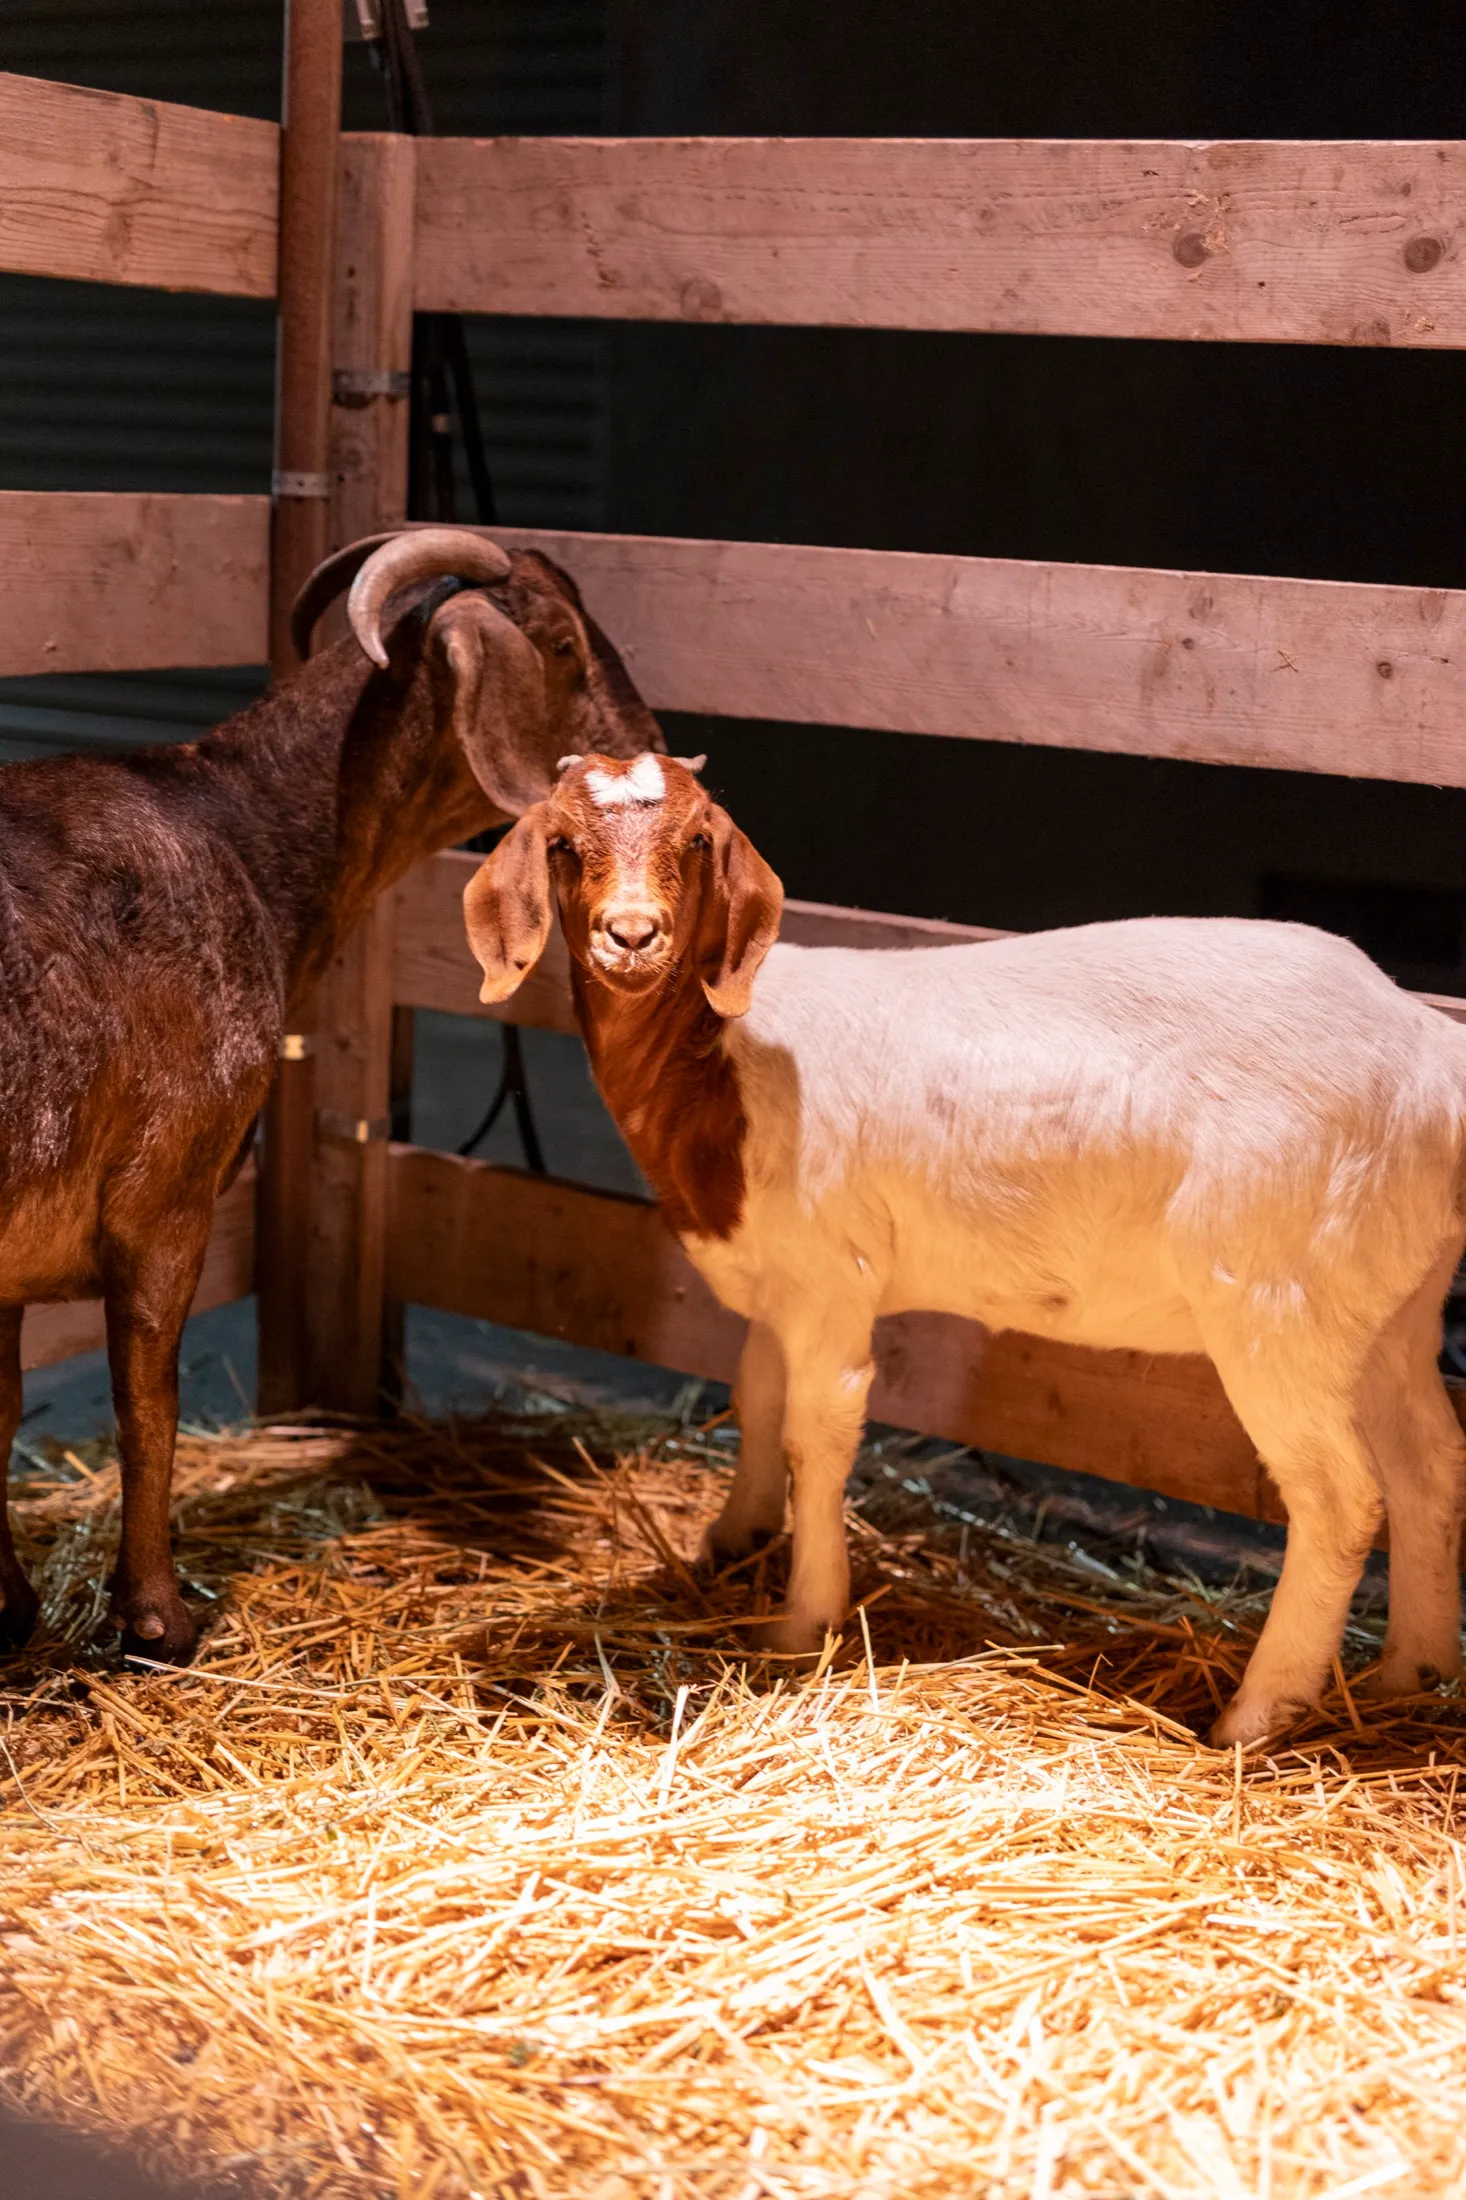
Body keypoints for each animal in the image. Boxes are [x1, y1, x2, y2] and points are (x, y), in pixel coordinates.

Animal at [0, 529, 659, 1664]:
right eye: (567, 644)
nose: (658, 752)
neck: (244, 837)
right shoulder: (166, 1193)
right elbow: (147, 1401)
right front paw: (156, 1617)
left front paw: (7, 1606)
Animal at [465, 752, 1466, 1746]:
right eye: (562, 843)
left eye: (698, 841)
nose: (632, 935)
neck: (726, 1061)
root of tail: (1428, 1046)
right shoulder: (783, 1281)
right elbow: (756, 1395)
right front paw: (734, 1537)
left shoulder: (831, 1279)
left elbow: (815, 1432)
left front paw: (802, 1622)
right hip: (1389, 1305)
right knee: (1430, 1465)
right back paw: (1408, 1678)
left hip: (1278, 1299)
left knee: (1340, 1497)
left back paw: (1255, 1718)